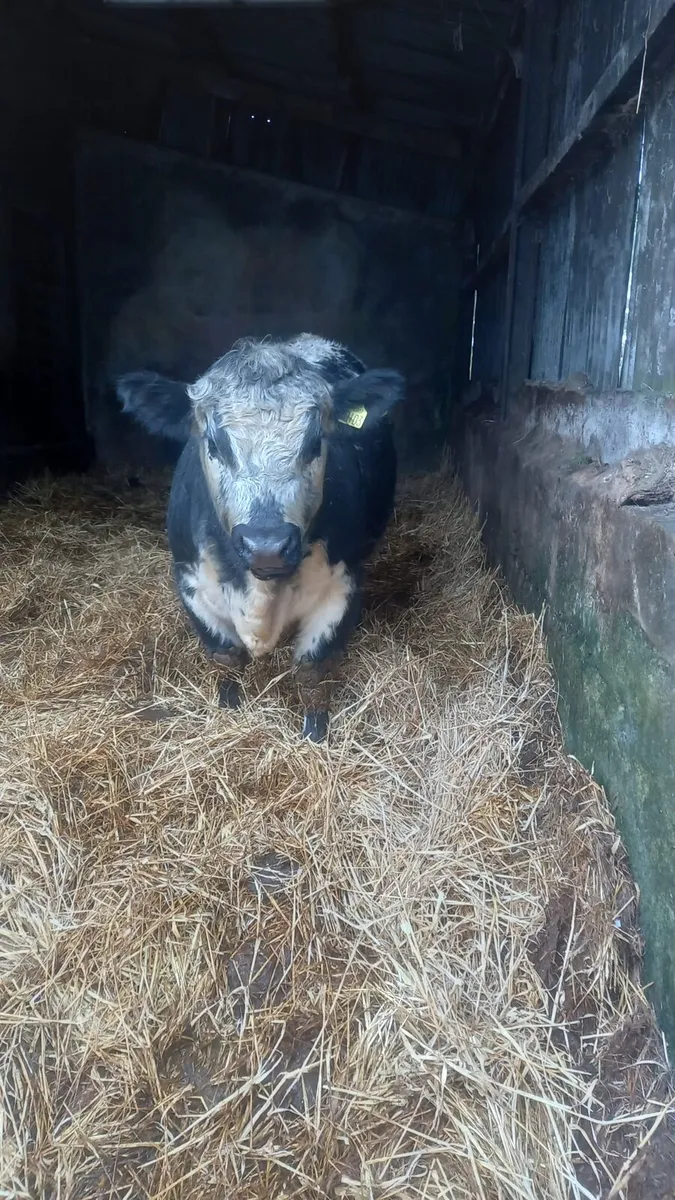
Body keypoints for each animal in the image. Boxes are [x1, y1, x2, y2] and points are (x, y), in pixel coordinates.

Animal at [116, 334, 405, 742]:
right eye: (214, 443)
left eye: (316, 441)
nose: (267, 547)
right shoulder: (190, 583)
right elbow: (226, 657)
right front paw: (228, 712)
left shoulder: (344, 585)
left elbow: (314, 668)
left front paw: (314, 737)